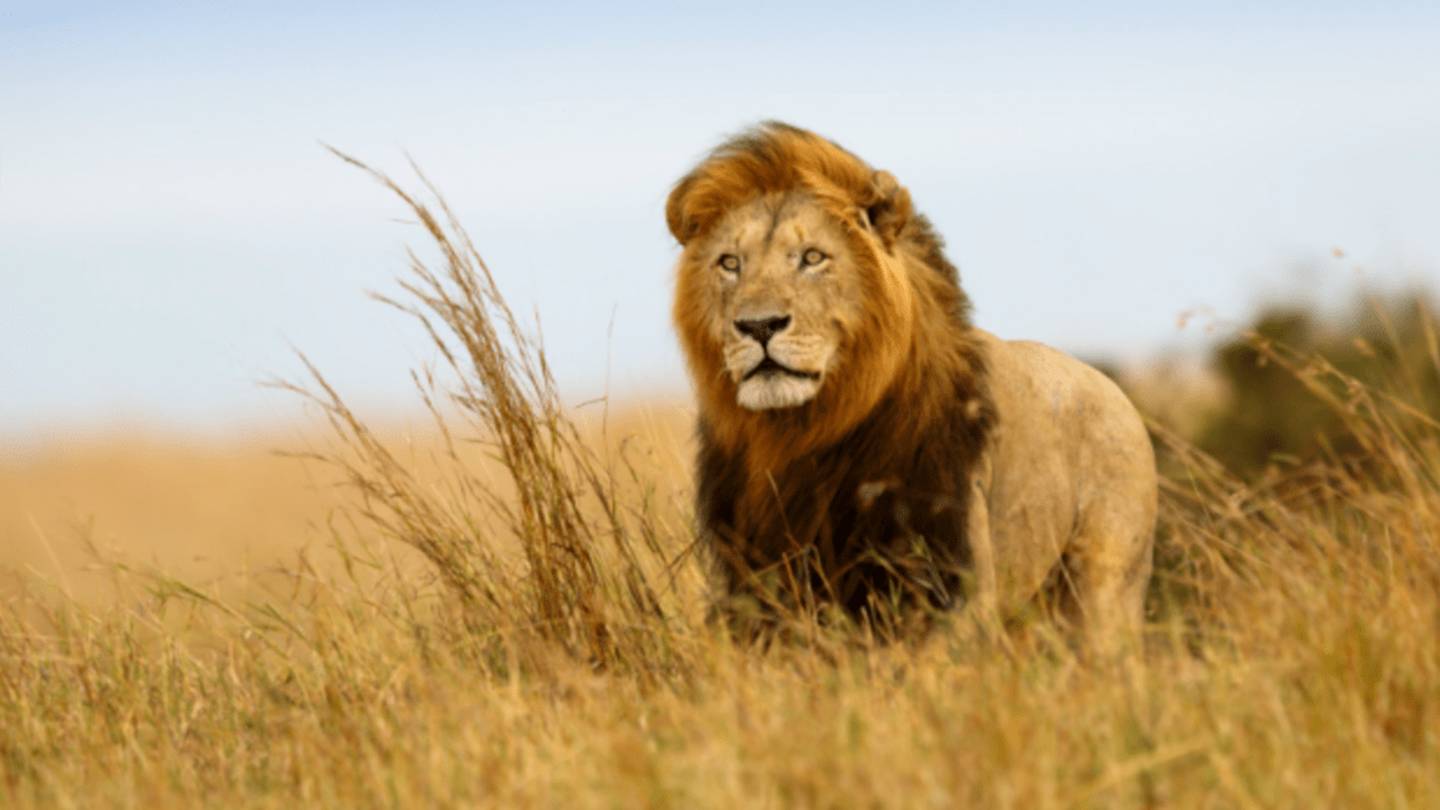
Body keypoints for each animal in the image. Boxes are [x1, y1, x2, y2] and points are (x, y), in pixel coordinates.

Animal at [666, 122, 1157, 650]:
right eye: (729, 263)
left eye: (813, 257)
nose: (758, 326)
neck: (801, 435)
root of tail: (1115, 391)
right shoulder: (755, 580)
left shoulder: (949, 578)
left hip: (1103, 591)